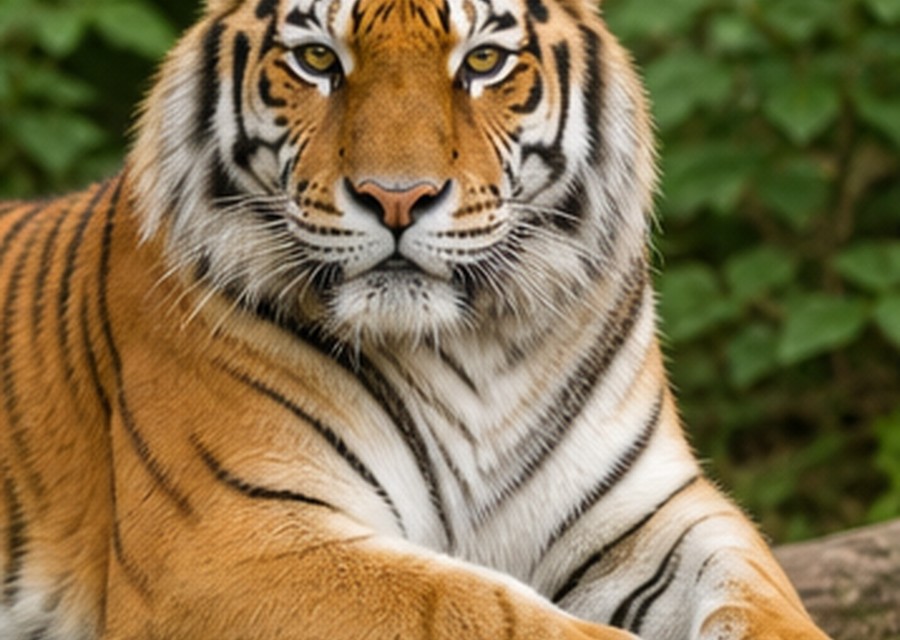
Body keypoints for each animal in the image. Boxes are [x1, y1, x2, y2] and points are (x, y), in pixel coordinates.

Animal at [0, 0, 833, 638]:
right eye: (318, 58)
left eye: (484, 60)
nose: (395, 197)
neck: (472, 343)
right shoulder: (227, 540)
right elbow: (478, 606)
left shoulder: (654, 514)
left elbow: (759, 591)